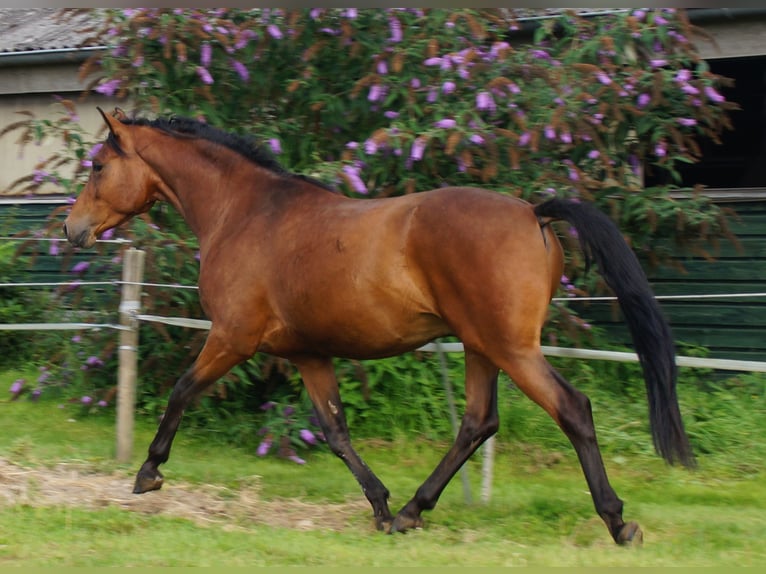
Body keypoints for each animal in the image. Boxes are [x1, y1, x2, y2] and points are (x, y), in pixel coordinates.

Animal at [63, 108, 694, 545]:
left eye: (98, 166)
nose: (72, 230)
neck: (244, 213)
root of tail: (533, 213)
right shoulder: (308, 354)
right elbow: (336, 432)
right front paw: (382, 506)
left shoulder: (232, 337)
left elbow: (181, 391)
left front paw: (148, 473)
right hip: (481, 347)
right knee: (477, 422)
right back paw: (413, 512)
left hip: (512, 348)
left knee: (572, 409)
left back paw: (618, 523)